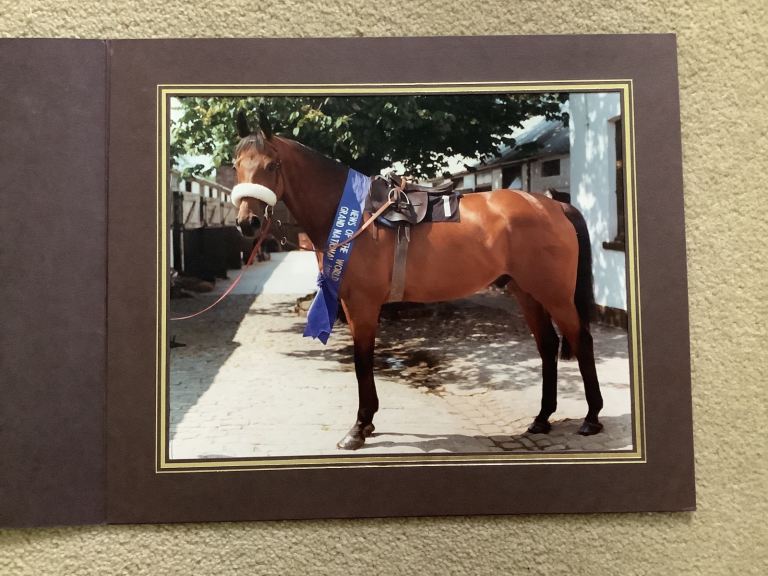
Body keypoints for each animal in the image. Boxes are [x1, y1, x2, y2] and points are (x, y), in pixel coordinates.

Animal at [232, 112, 603, 450]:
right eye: (236, 165)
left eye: (272, 165)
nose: (248, 222)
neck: (358, 218)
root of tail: (553, 206)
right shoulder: (353, 306)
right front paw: (367, 423)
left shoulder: (362, 305)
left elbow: (362, 361)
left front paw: (359, 427)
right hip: (527, 292)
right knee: (548, 345)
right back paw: (542, 418)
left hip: (555, 295)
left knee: (581, 339)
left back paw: (591, 418)